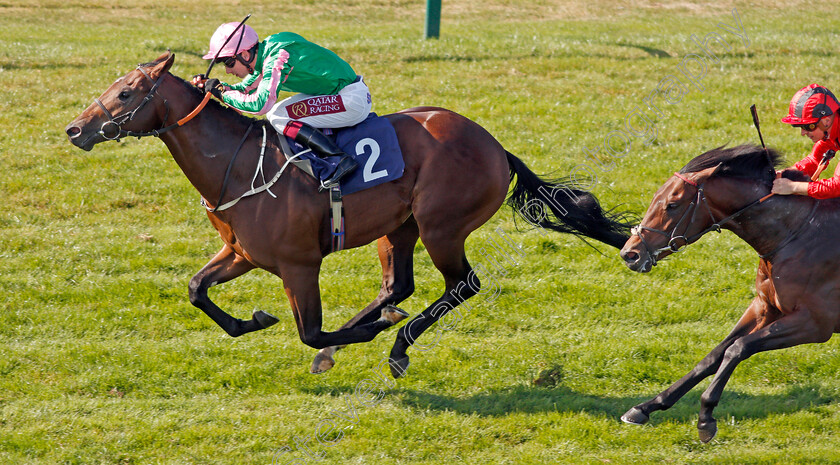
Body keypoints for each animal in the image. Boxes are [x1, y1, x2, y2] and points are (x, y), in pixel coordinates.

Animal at [65, 51, 632, 376]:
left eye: (126, 92)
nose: (75, 129)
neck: (238, 163)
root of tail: (495, 147)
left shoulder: (299, 264)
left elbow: (310, 330)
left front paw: (353, 336)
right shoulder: (241, 252)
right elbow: (196, 289)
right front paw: (252, 320)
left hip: (441, 226)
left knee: (462, 284)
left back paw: (397, 344)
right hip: (399, 228)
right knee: (397, 285)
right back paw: (377, 328)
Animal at [616, 145, 840, 442]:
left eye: (672, 205)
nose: (630, 254)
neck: (795, 234)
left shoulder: (815, 323)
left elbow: (738, 348)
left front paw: (705, 417)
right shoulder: (764, 307)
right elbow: (715, 354)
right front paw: (647, 406)